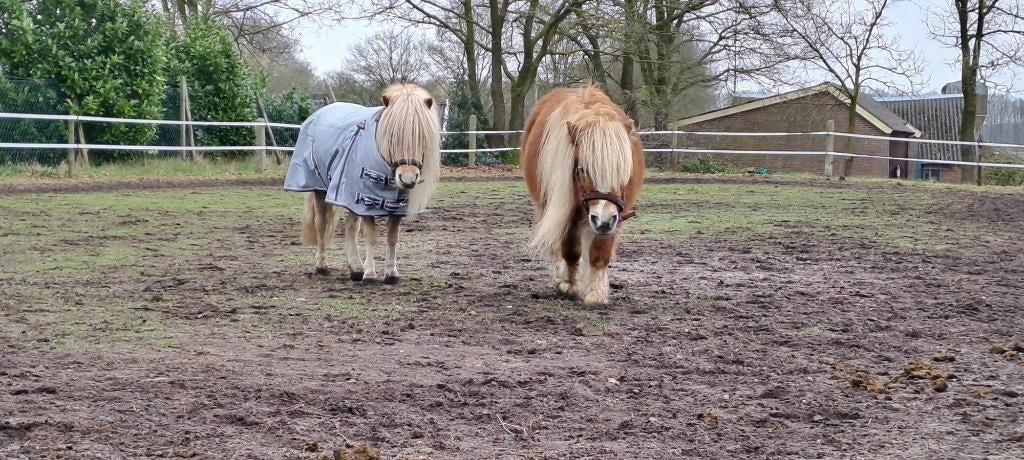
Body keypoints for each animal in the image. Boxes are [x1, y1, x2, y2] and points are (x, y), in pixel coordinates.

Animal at [283, 83, 441, 284]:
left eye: (422, 137)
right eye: (392, 136)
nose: (407, 179)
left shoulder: (394, 206)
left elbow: (392, 237)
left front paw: (390, 273)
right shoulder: (366, 202)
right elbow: (371, 236)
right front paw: (371, 274)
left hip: (350, 199)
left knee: (350, 227)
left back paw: (356, 268)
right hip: (320, 190)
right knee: (321, 225)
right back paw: (322, 266)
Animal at [521, 86, 644, 305]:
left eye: (622, 170)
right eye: (583, 169)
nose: (603, 221)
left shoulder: (615, 216)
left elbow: (599, 253)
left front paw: (595, 293)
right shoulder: (565, 213)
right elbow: (571, 251)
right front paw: (571, 286)